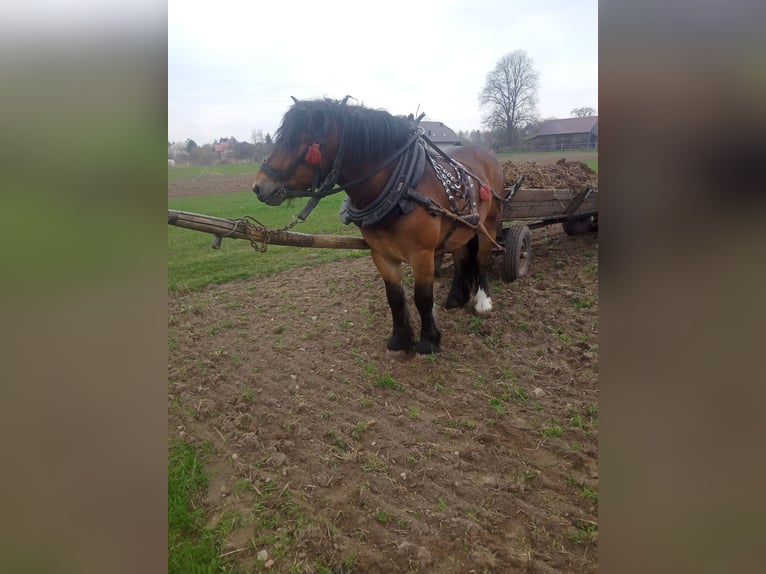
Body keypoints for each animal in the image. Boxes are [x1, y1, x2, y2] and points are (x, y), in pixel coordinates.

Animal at [252, 97, 506, 354]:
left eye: (301, 142)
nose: (259, 186)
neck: (404, 187)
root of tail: (486, 154)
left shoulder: (422, 254)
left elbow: (422, 298)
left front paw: (428, 341)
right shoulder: (381, 253)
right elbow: (394, 296)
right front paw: (400, 339)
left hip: (490, 223)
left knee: (482, 259)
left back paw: (483, 302)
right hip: (462, 227)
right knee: (461, 256)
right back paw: (455, 298)